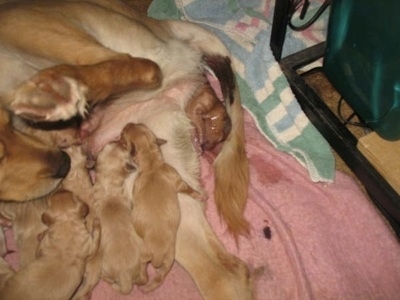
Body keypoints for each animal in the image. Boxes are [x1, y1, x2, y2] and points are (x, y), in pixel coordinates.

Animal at [119, 122, 205, 290]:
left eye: (123, 135)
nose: (128, 123)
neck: (152, 164)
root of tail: (157, 253)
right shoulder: (178, 179)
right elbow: (189, 189)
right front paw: (200, 195)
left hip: (148, 257)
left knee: (147, 273)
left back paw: (143, 284)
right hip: (168, 258)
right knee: (159, 276)